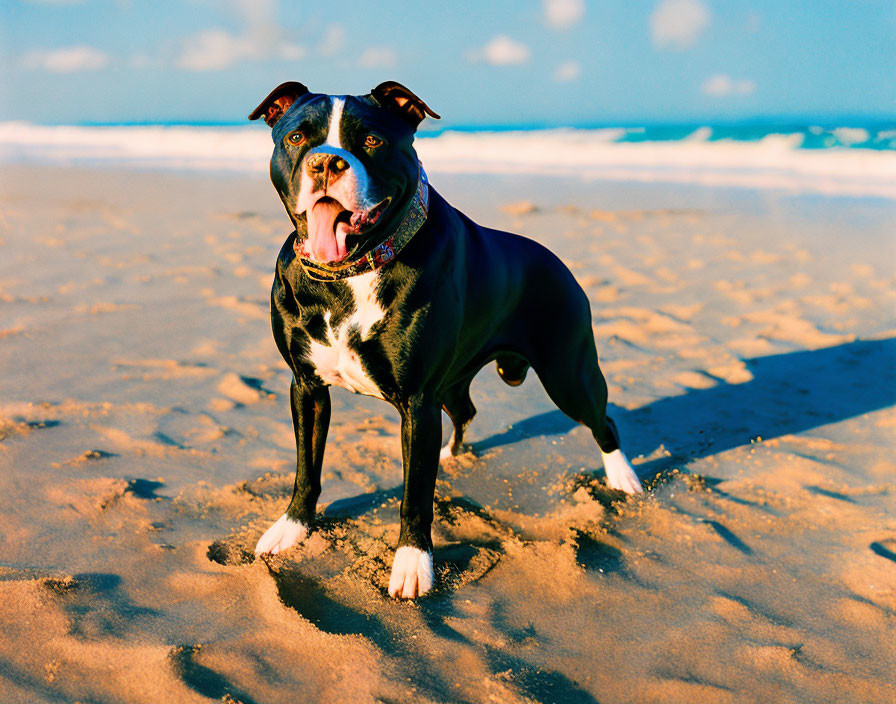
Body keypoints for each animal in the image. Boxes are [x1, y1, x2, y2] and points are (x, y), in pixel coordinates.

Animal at [248, 82, 640, 600]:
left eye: (371, 140)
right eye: (296, 138)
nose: (326, 162)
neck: (352, 270)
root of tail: (556, 260)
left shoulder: (417, 401)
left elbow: (415, 494)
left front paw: (413, 564)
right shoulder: (307, 387)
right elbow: (306, 467)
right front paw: (292, 528)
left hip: (567, 374)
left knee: (602, 420)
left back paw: (624, 477)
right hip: (455, 382)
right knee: (466, 410)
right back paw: (451, 453)